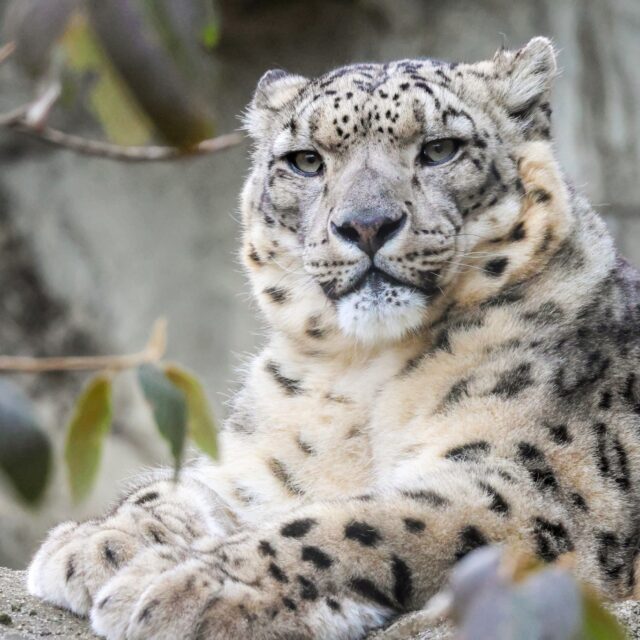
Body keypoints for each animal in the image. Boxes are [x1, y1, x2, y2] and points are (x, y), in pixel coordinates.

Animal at [27, 37, 640, 640]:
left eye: (440, 149)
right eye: (306, 161)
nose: (366, 224)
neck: (362, 371)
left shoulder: (530, 483)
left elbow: (358, 522)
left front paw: (190, 584)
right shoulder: (261, 462)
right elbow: (179, 485)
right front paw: (97, 541)